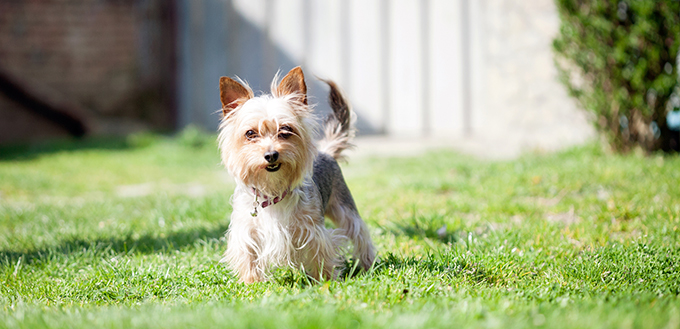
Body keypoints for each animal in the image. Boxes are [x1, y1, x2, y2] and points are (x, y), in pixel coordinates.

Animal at [218, 66, 378, 282]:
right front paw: (253, 282)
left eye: (285, 130)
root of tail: (326, 151)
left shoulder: (313, 229)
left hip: (343, 206)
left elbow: (322, 252)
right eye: (250, 133)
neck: (273, 191)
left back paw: (368, 263)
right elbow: (249, 257)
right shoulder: (246, 231)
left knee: (359, 232)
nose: (271, 155)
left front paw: (326, 280)